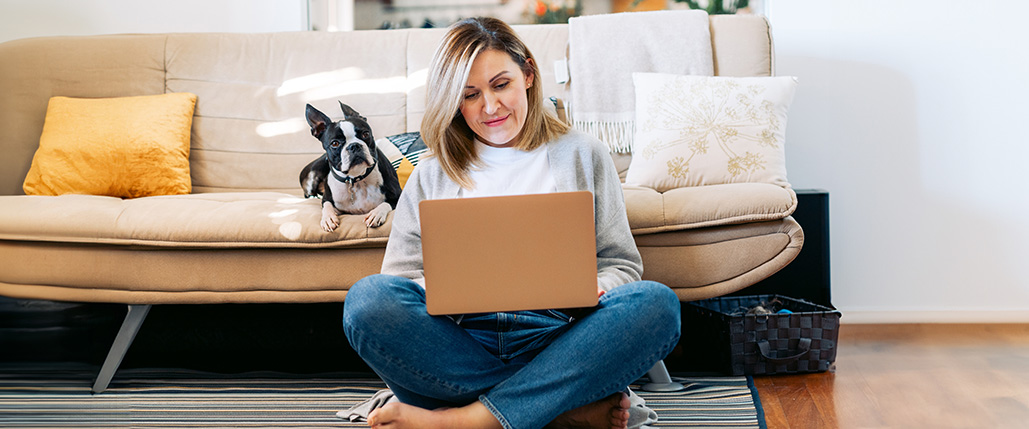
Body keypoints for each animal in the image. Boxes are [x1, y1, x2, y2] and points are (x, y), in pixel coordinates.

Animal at [300, 102, 399, 230]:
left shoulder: (398, 194)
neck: (355, 179)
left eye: (366, 134)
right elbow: (326, 205)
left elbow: (385, 203)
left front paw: (376, 214)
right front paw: (328, 218)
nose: (354, 146)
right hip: (313, 175)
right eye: (335, 143)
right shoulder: (328, 199)